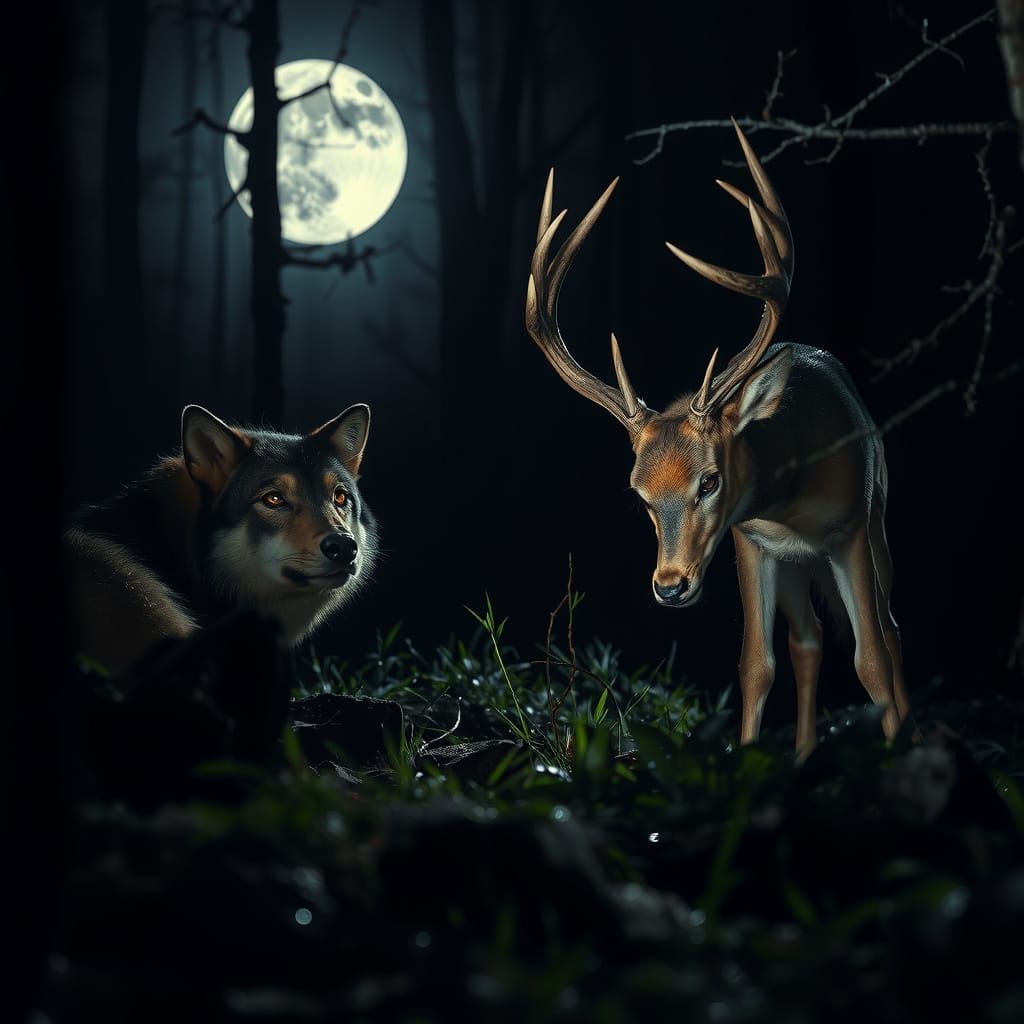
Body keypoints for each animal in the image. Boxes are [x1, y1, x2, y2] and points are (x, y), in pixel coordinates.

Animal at [524, 120, 913, 755]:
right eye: (638, 494)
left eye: (709, 482)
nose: (669, 586)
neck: (792, 496)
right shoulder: (750, 539)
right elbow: (755, 665)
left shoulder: (850, 529)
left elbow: (873, 659)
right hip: (790, 564)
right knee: (807, 641)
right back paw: (803, 754)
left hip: (876, 523)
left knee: (891, 633)